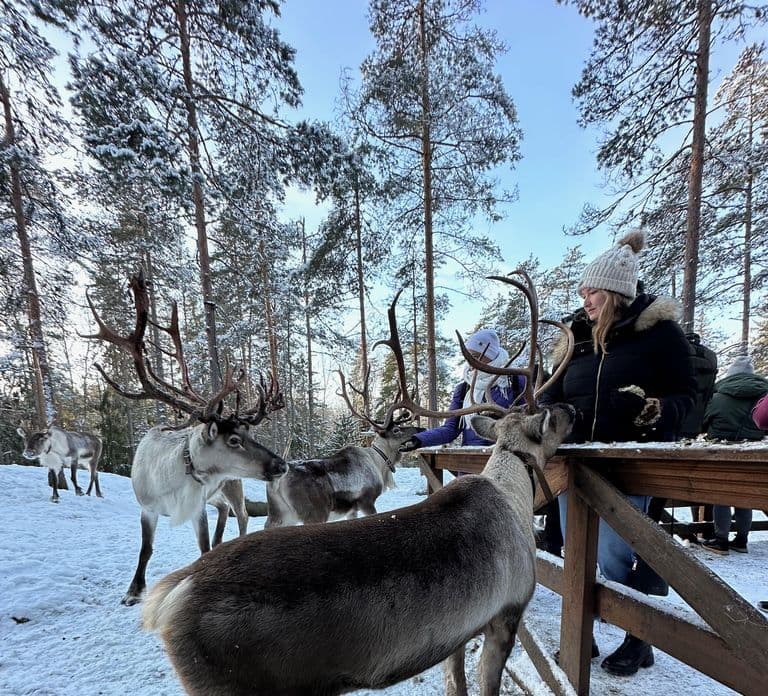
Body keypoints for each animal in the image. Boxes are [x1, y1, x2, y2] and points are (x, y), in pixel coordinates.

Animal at [83, 270, 287, 605]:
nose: (281, 465)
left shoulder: (196, 507)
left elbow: (202, 549)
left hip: (232, 484)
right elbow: (146, 549)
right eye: (233, 440)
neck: (175, 483)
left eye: (249, 432)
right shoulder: (148, 507)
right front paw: (133, 590)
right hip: (217, 492)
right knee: (226, 510)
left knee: (241, 513)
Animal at [264, 372, 424, 528]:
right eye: (396, 430)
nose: (421, 429)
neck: (379, 463)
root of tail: (278, 482)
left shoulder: (352, 510)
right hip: (315, 512)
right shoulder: (367, 501)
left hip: (279, 514)